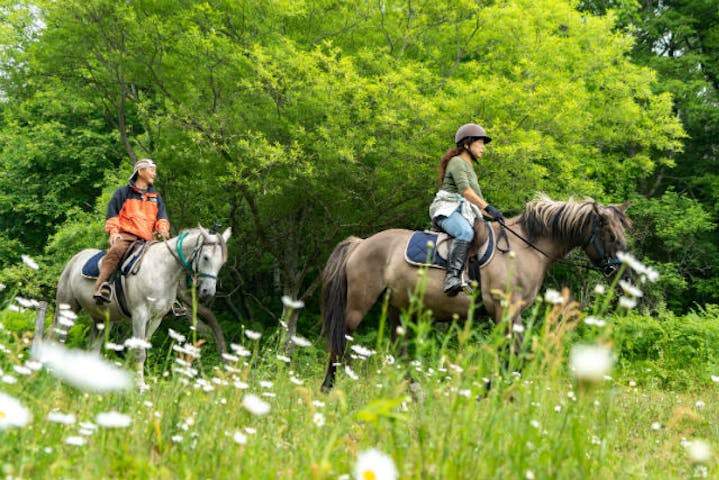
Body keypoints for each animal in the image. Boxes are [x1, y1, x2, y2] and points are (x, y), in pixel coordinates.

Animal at [52, 226, 231, 386]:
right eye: (206, 257)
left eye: (222, 263)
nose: (208, 292)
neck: (162, 270)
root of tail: (75, 258)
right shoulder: (139, 315)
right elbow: (139, 352)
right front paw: (140, 387)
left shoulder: (156, 319)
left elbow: (140, 348)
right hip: (67, 307)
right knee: (59, 337)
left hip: (102, 320)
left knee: (92, 349)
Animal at [320, 195, 632, 390]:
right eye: (611, 236)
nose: (624, 276)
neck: (525, 249)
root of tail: (361, 243)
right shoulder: (504, 311)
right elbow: (512, 355)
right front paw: (493, 389)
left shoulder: (512, 314)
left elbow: (516, 355)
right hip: (358, 306)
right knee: (339, 344)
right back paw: (328, 389)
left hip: (398, 308)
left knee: (400, 353)